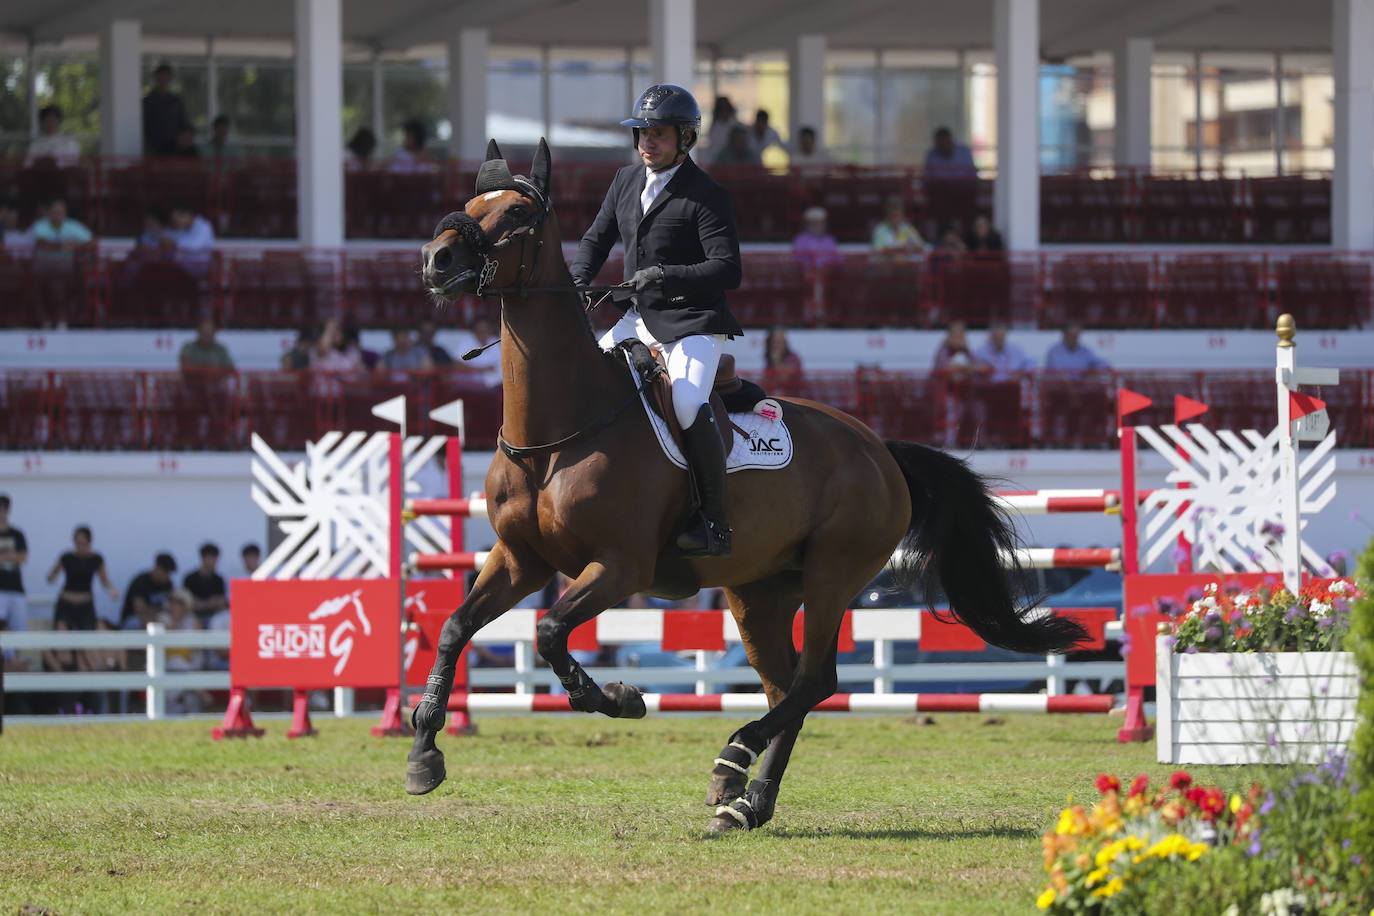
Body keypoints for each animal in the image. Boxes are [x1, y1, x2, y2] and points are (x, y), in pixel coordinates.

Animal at [406, 140, 1082, 834]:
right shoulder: (523, 559)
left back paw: (734, 758)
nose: (436, 261)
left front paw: (618, 698)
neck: (559, 430)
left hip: (834, 572)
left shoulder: (619, 568)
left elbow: (548, 633)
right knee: (788, 685)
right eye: (470, 206)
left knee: (814, 681)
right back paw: (746, 801)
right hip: (759, 592)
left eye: (517, 213)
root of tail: (879, 449)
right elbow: (456, 626)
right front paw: (425, 750)